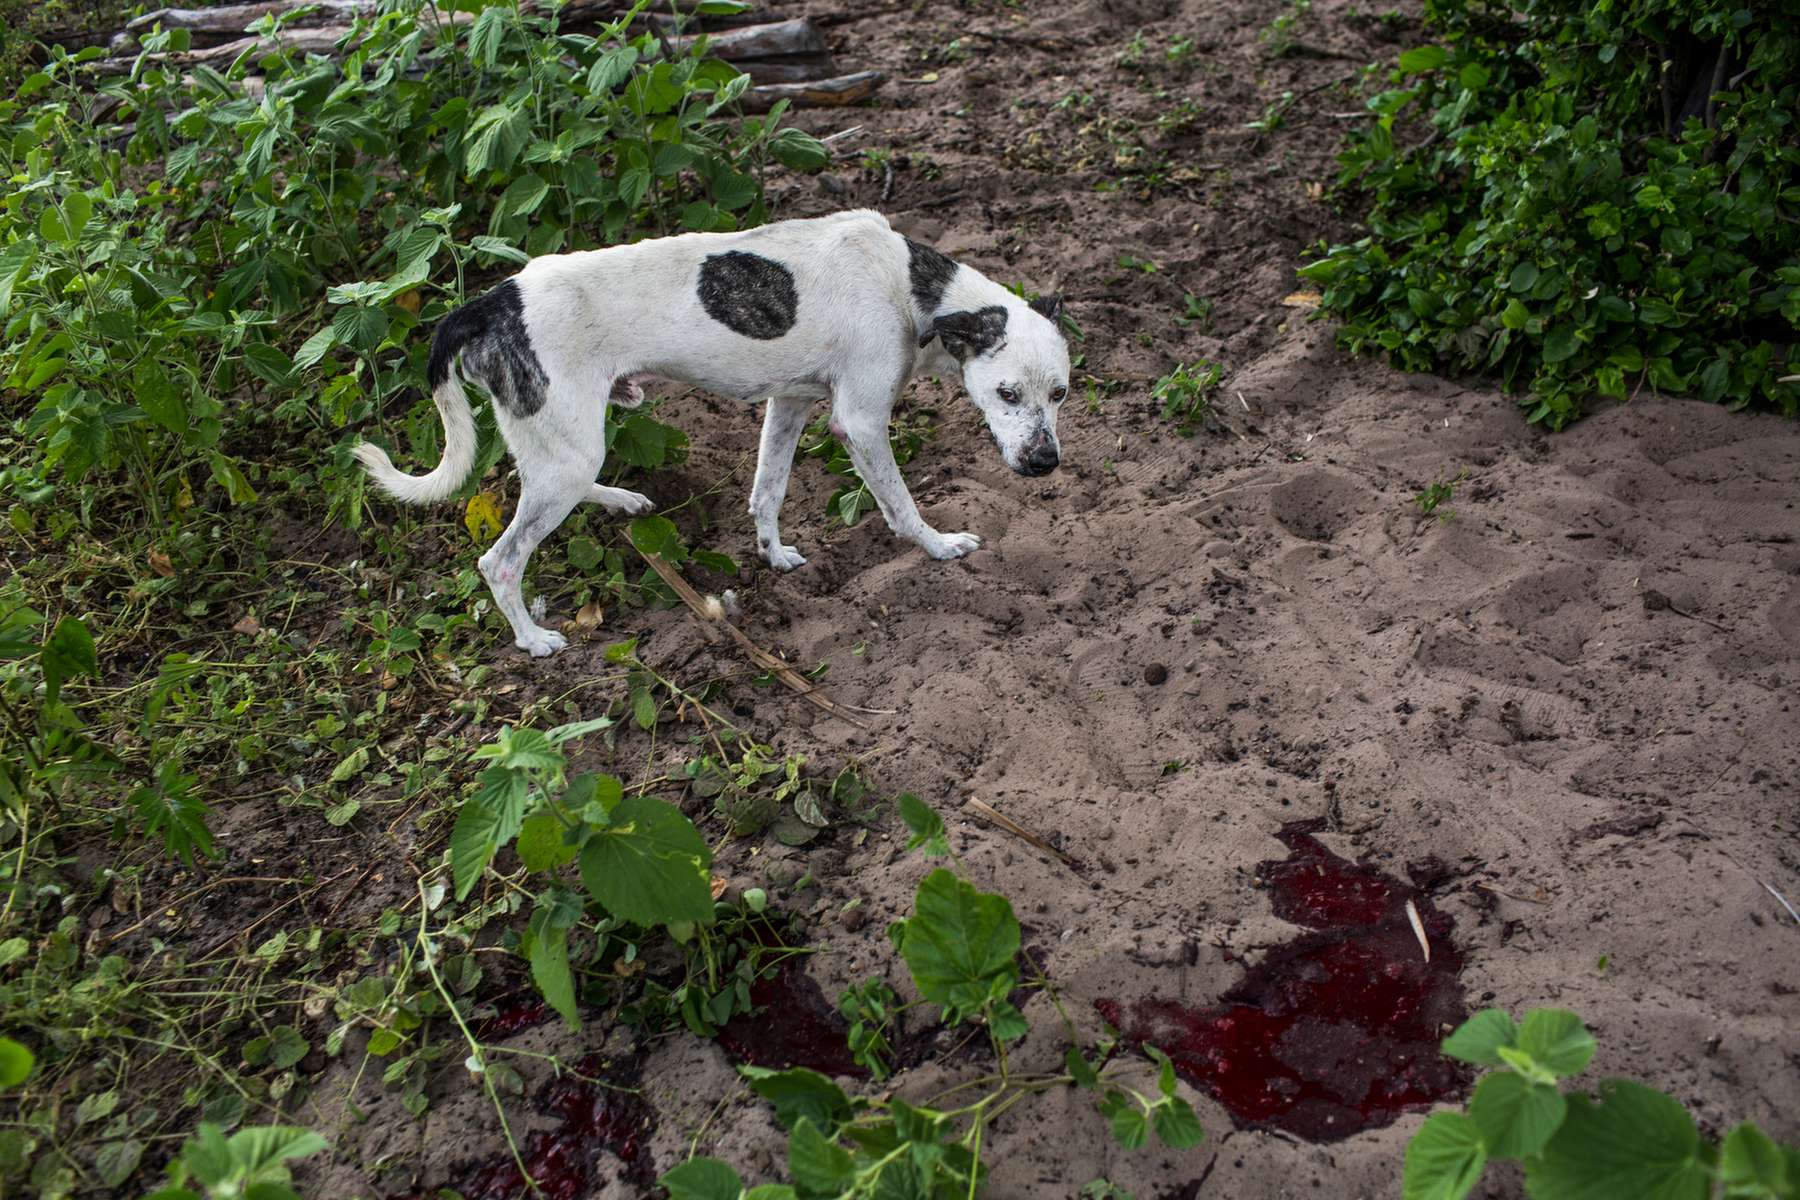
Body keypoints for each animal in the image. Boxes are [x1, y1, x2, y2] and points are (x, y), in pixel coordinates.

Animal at [351, 207, 1065, 658]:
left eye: (1059, 393)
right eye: (1006, 394)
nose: (1044, 463)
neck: (913, 288)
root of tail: (490, 302)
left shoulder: (789, 404)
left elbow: (767, 491)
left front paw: (772, 555)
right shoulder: (859, 422)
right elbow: (902, 507)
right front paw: (939, 547)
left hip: (563, 448)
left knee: (549, 488)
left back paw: (623, 501)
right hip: (567, 455)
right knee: (498, 562)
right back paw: (532, 639)